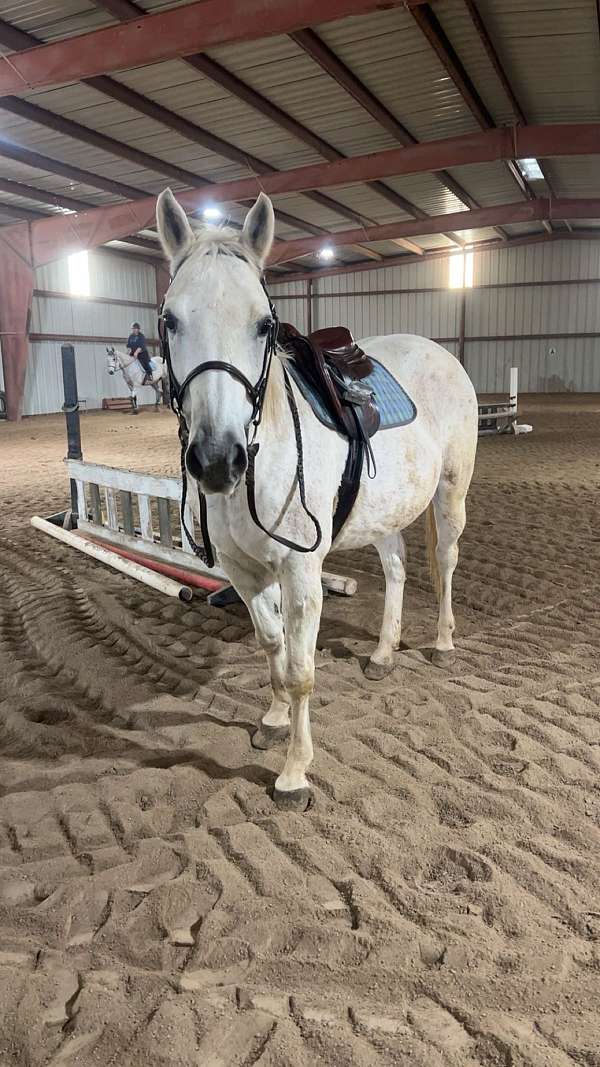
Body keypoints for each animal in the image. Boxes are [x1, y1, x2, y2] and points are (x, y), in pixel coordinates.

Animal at [156, 188, 479, 813]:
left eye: (264, 324)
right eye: (170, 320)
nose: (217, 459)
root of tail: (440, 354)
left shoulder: (301, 569)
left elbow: (302, 668)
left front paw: (294, 774)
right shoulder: (242, 569)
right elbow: (272, 644)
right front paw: (273, 719)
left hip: (451, 493)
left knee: (445, 562)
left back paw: (443, 644)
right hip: (386, 513)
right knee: (398, 569)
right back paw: (382, 654)